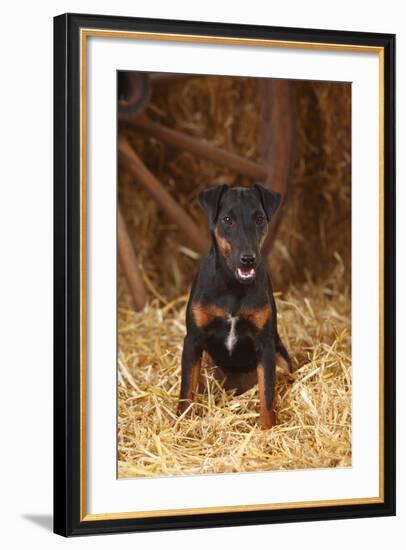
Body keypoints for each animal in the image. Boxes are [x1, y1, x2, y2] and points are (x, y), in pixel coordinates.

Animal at [178, 183, 292, 430]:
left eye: (259, 219)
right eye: (227, 220)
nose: (248, 259)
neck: (233, 284)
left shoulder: (265, 344)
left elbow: (267, 394)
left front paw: (266, 430)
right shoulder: (193, 340)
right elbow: (186, 390)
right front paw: (182, 425)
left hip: (281, 357)